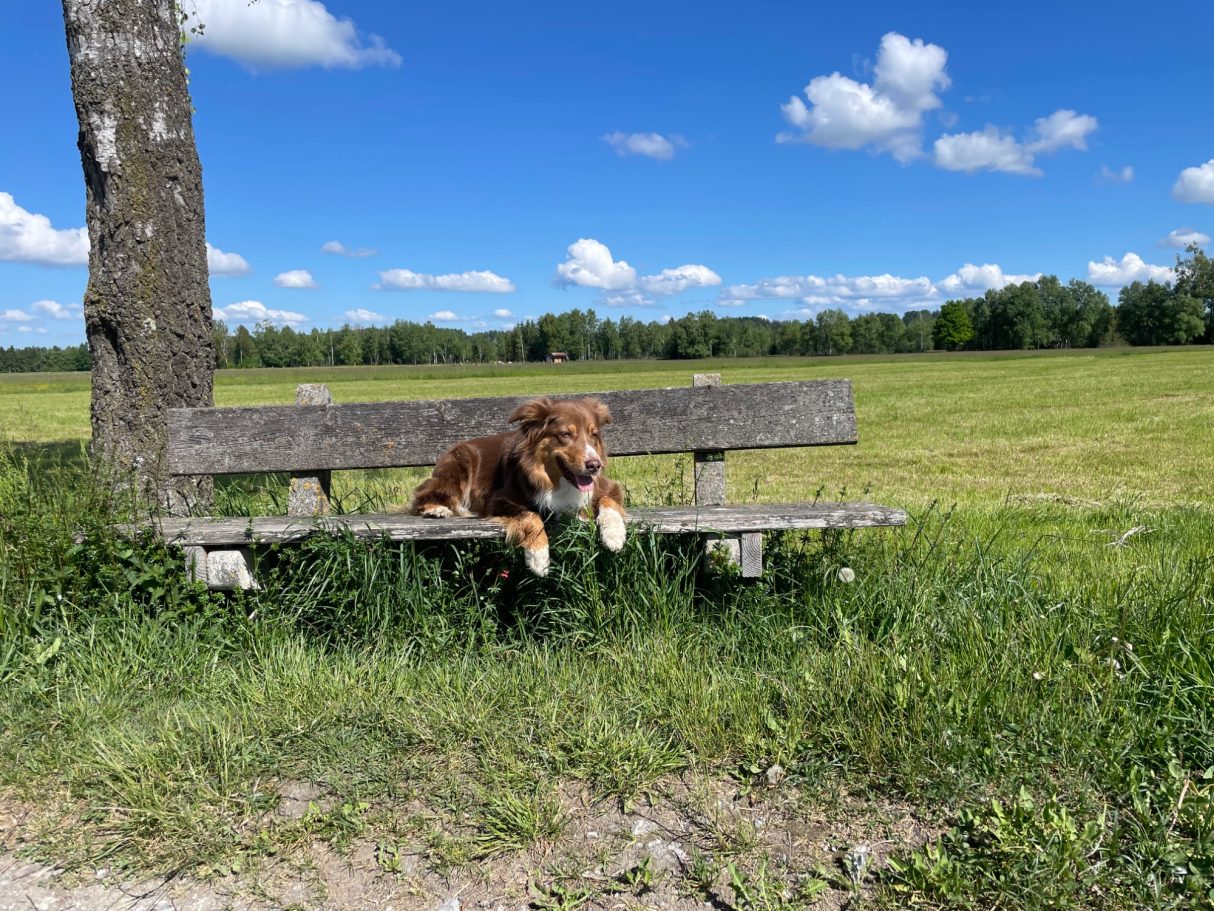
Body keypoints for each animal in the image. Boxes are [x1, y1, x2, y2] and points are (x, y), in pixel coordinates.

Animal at [408, 396, 627, 576]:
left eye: (594, 435)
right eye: (565, 434)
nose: (594, 465)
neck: (557, 480)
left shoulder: (606, 486)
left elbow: (609, 501)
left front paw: (614, 535)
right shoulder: (498, 499)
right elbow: (531, 516)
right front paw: (539, 558)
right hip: (458, 467)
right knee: (422, 494)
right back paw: (437, 509)